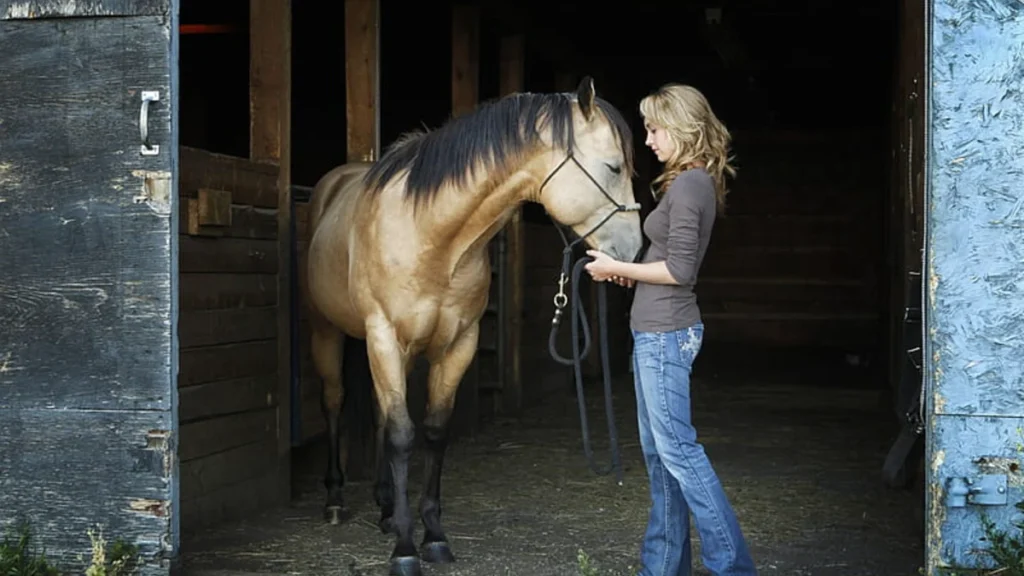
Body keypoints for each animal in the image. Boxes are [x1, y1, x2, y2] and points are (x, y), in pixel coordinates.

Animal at [303, 76, 643, 576]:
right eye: (613, 166)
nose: (634, 251)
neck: (432, 236)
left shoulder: (458, 344)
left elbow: (432, 431)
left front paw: (432, 535)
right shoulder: (384, 337)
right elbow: (403, 435)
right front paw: (405, 548)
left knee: (383, 417)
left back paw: (384, 507)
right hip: (329, 334)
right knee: (334, 404)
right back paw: (334, 500)